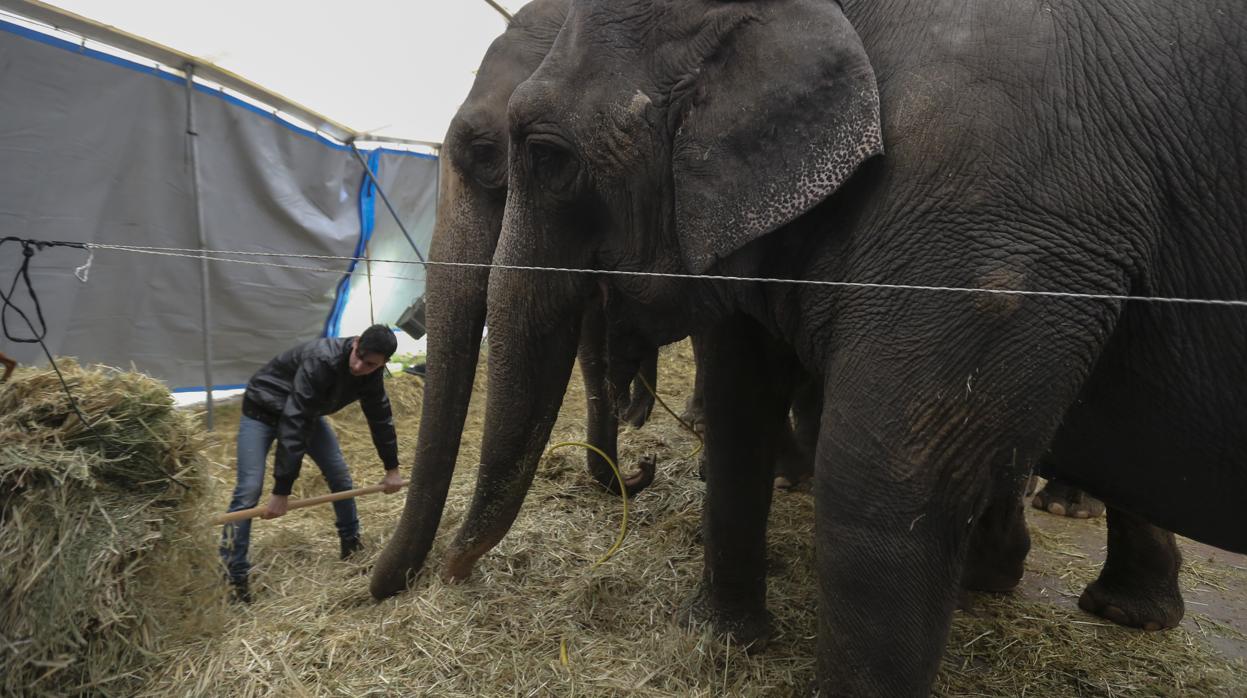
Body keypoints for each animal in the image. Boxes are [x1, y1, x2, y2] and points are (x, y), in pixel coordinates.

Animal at [436, 1, 1247, 693]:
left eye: (542, 156)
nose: (445, 576)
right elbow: (740, 403)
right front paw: (724, 640)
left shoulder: (994, 209)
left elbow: (880, 480)